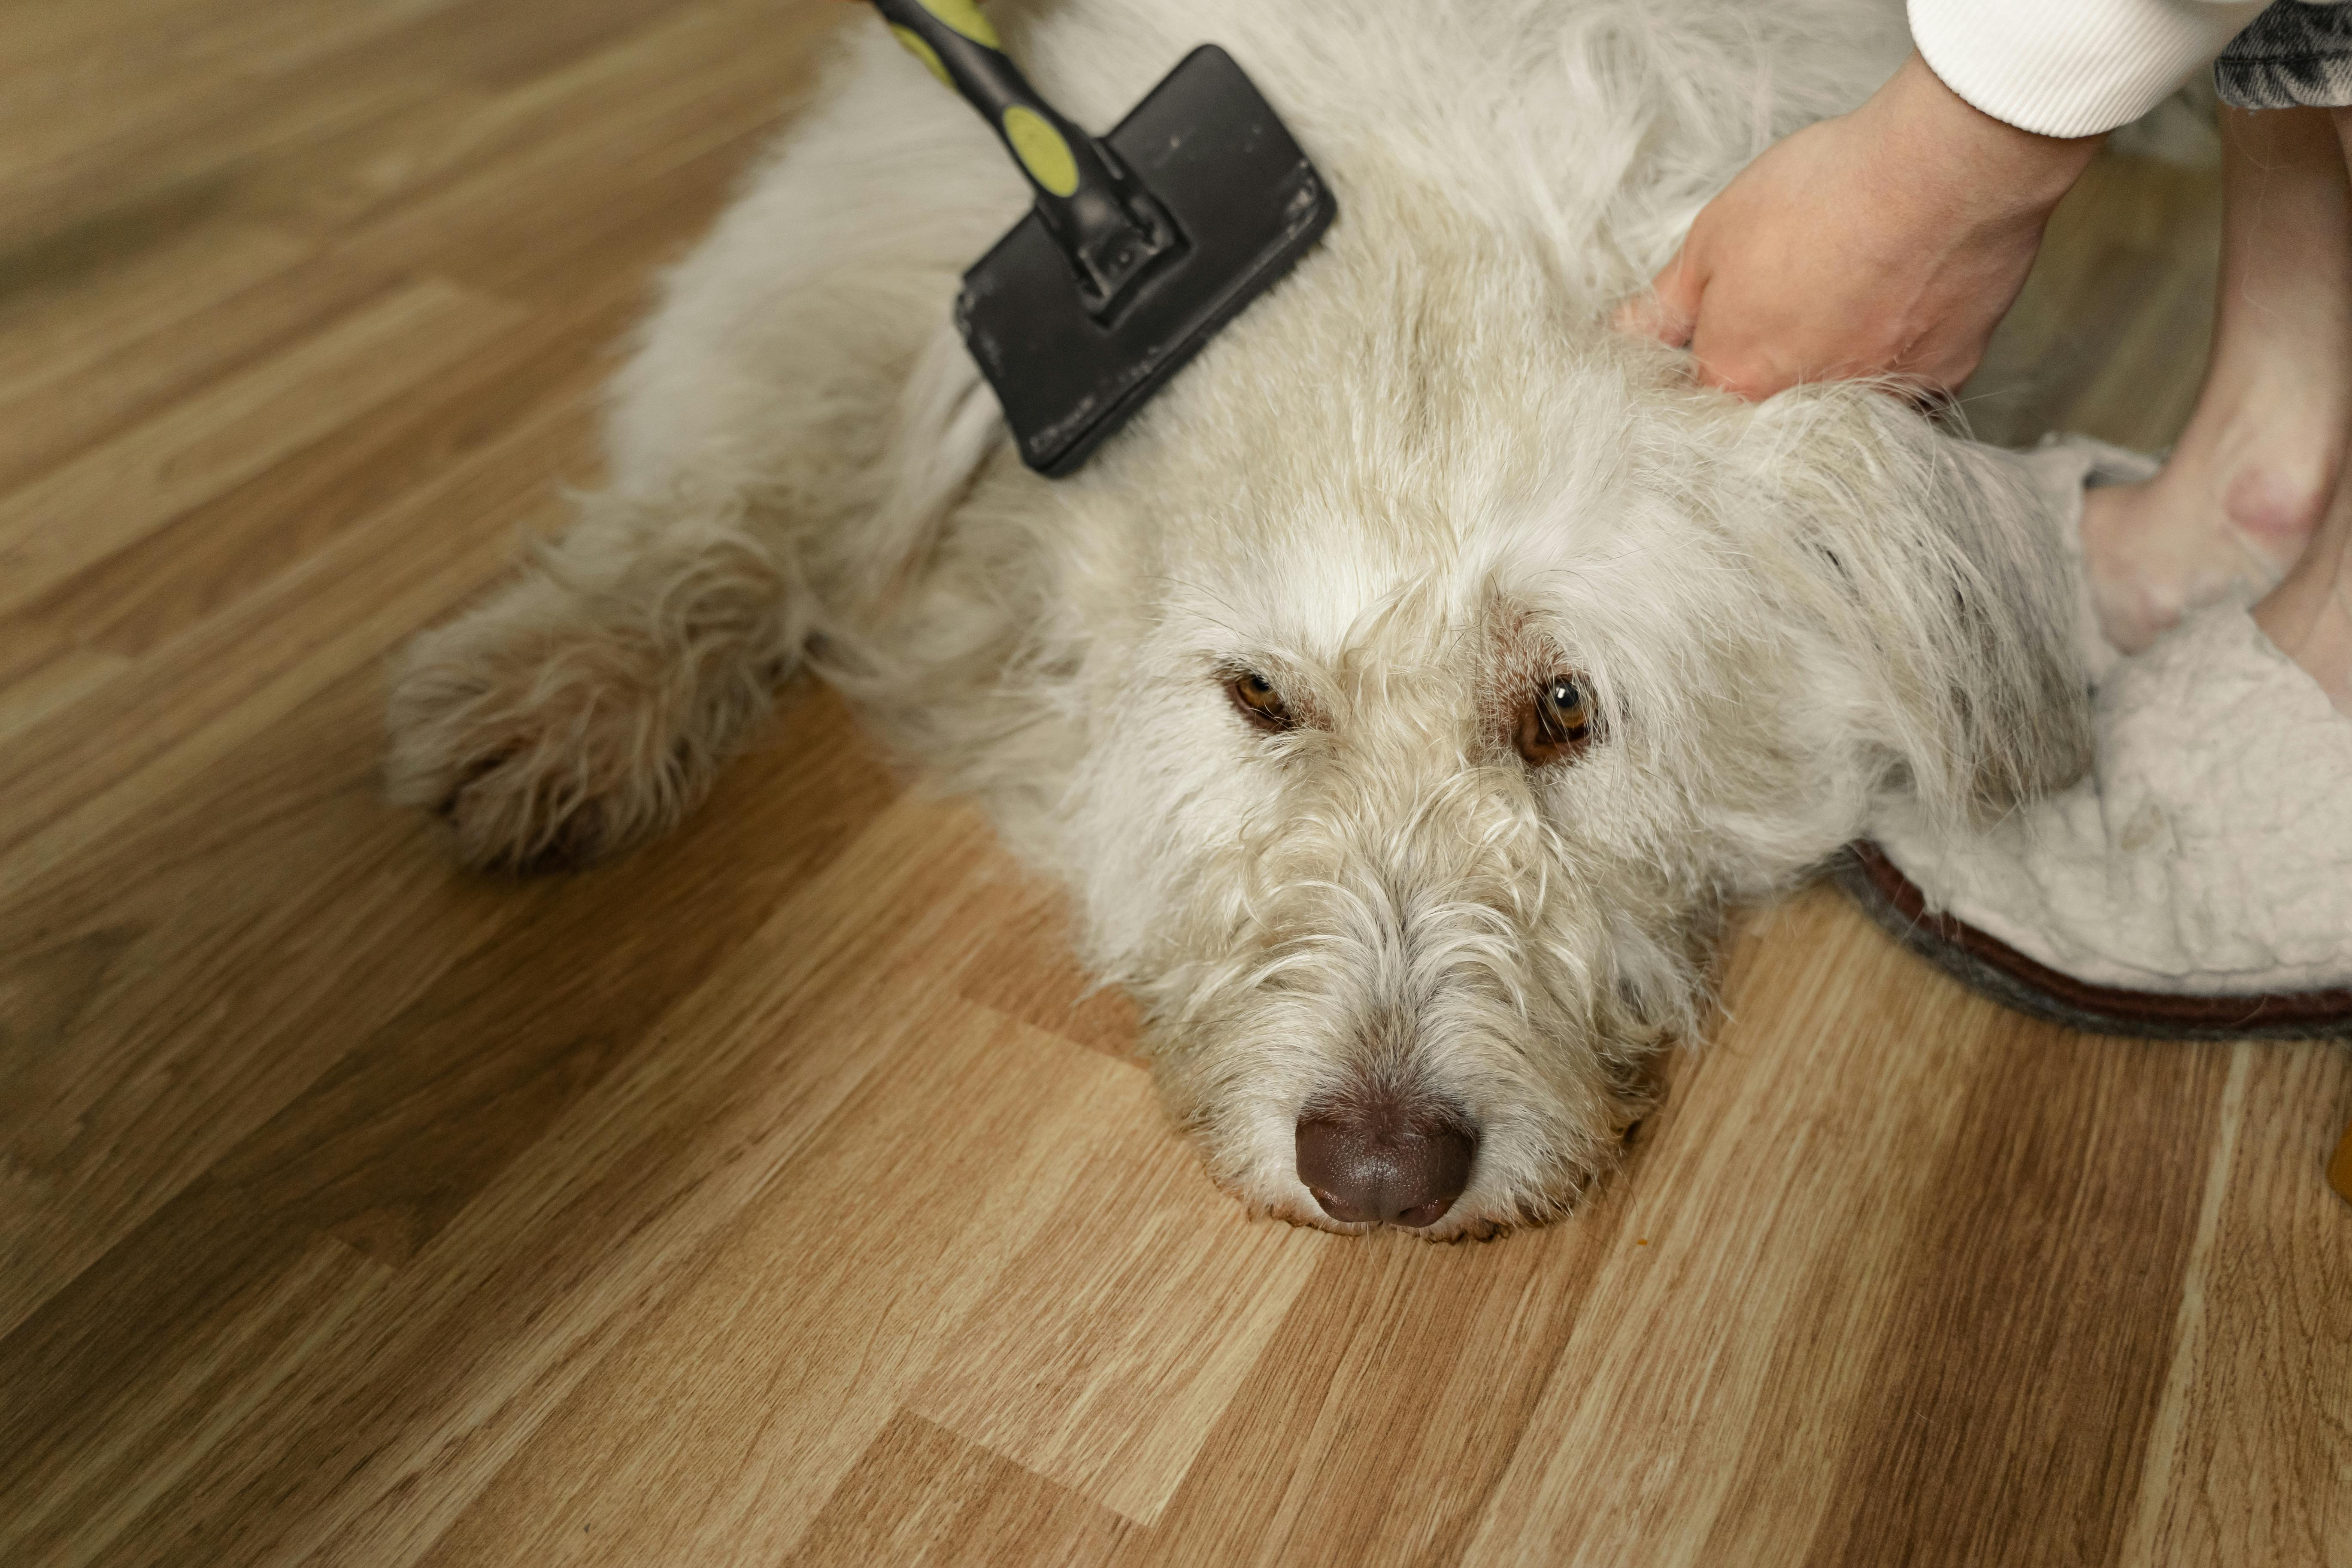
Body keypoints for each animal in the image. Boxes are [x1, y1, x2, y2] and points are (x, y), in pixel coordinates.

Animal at [390, 0, 2098, 1241]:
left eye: (1564, 707)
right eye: (1259, 696)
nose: (1381, 1174)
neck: (1420, 236)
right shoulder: (873, 227)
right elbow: (753, 470)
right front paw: (570, 680)